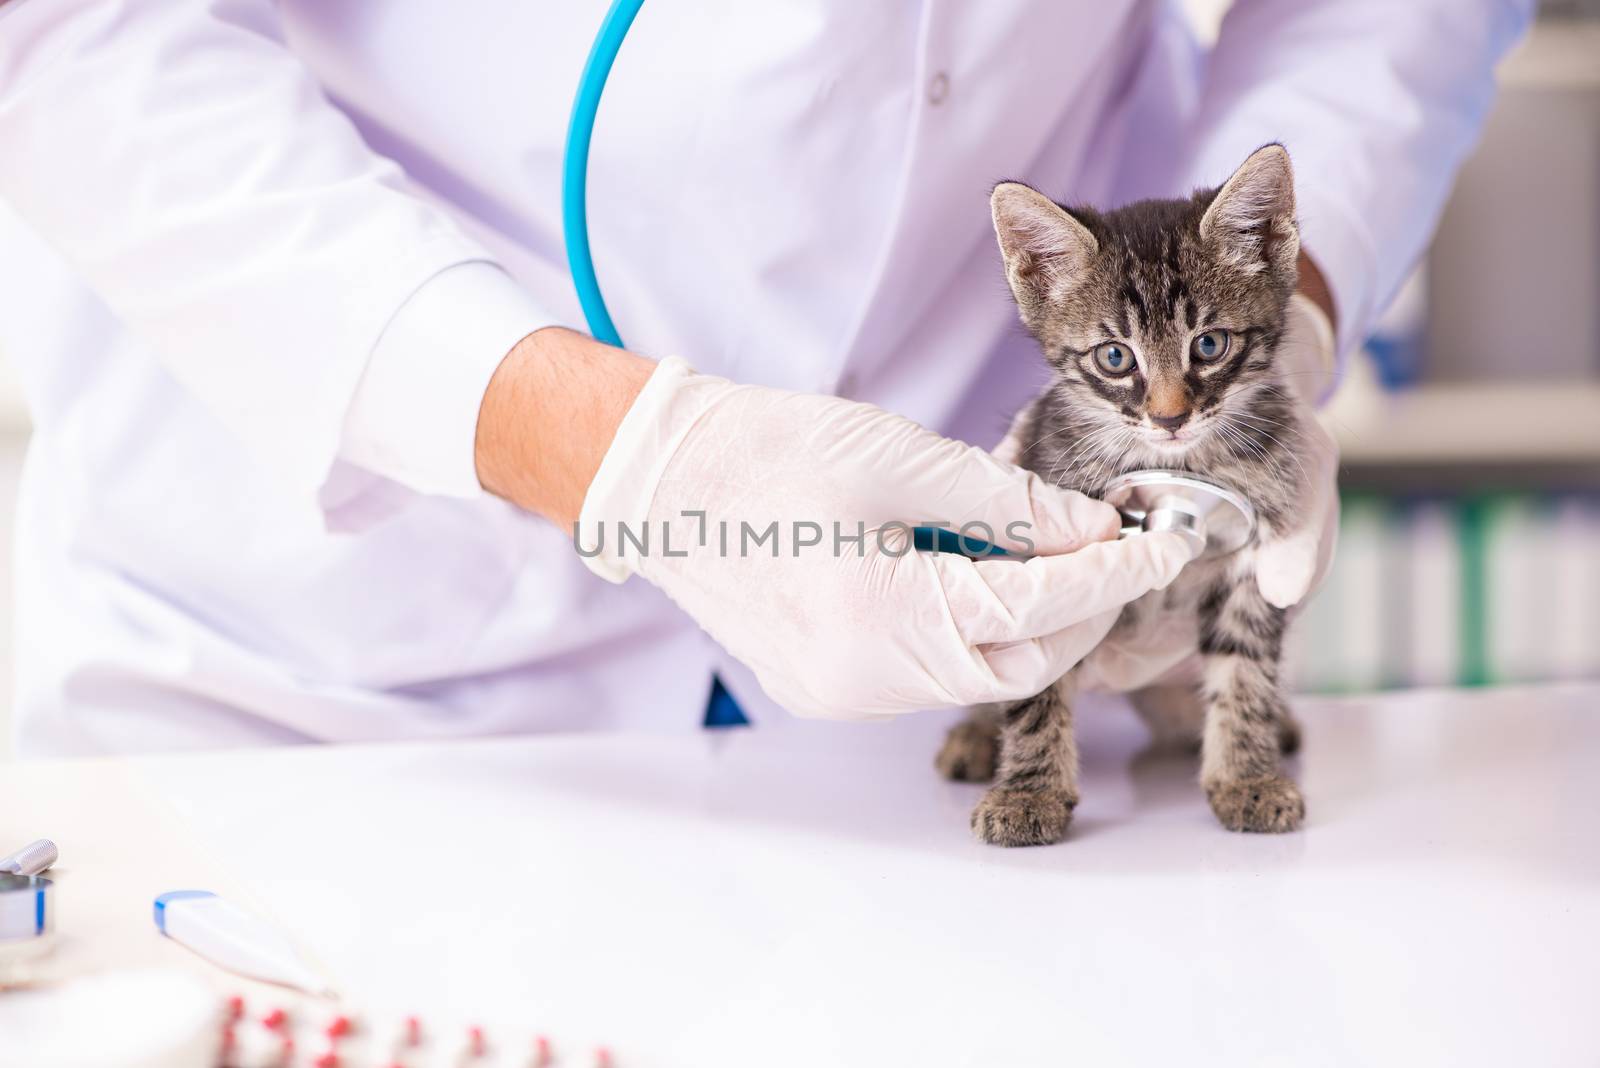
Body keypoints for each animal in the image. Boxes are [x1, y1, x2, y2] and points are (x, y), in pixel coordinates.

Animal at [934, 143, 1312, 844]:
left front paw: (1246, 776)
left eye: (1209, 345)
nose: (1169, 417)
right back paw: (974, 735)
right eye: (1115, 357)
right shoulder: (1048, 565)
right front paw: (1029, 793)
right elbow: (1035, 684)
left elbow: (1245, 668)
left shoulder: (1258, 556)